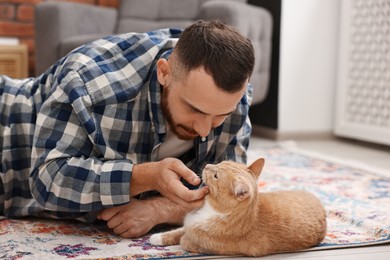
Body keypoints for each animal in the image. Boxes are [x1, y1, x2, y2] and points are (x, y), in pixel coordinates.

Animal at [149, 157, 326, 256]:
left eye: (216, 175)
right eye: (219, 163)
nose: (207, 165)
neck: (210, 209)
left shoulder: (196, 240)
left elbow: (184, 239)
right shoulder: (189, 223)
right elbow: (177, 231)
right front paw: (158, 237)